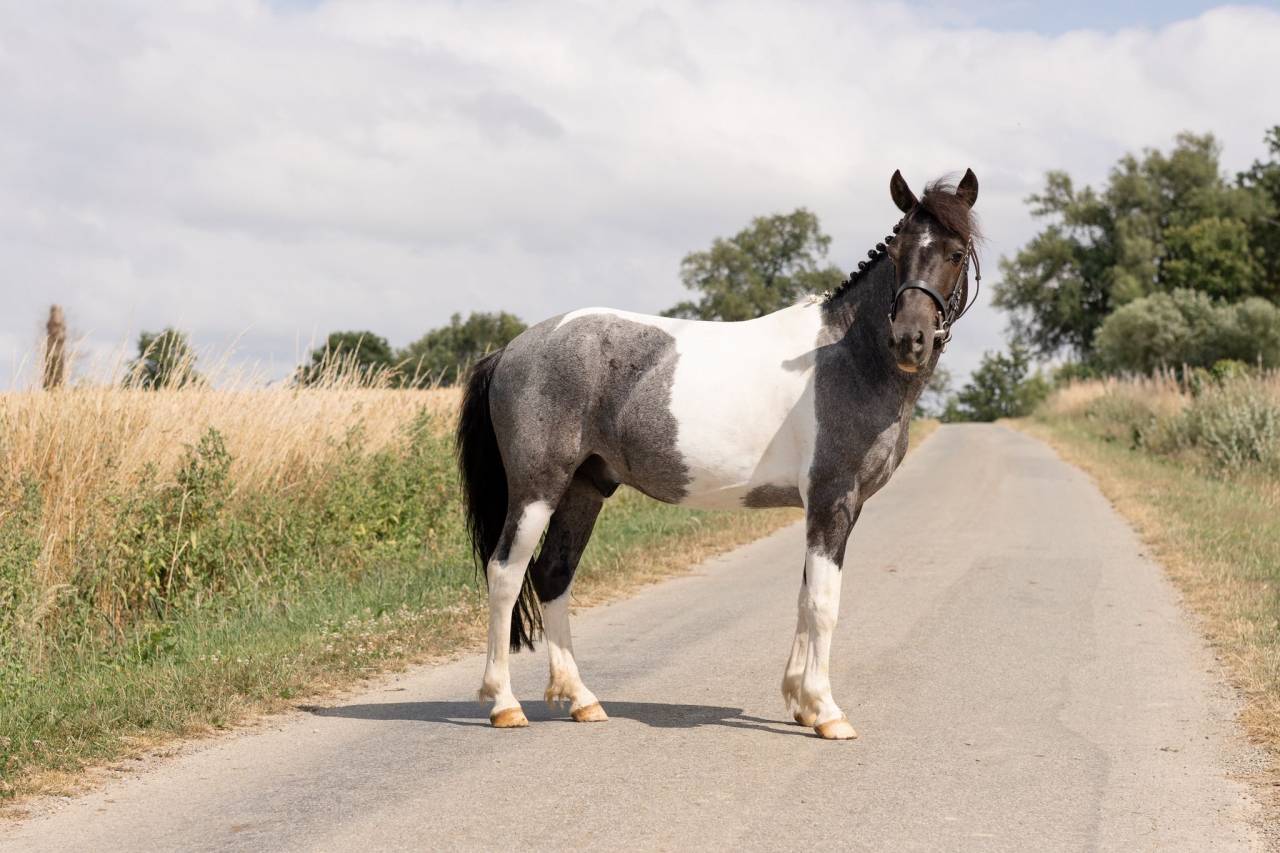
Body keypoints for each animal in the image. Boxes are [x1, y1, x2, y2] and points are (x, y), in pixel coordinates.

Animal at [456, 168, 980, 739]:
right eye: (901, 247)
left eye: (955, 252)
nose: (910, 339)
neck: (849, 355)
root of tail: (512, 348)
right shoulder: (832, 500)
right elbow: (823, 603)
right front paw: (827, 711)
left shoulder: (837, 507)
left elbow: (804, 596)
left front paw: (800, 702)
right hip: (538, 488)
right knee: (505, 574)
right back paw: (504, 704)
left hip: (584, 487)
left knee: (554, 574)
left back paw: (581, 699)